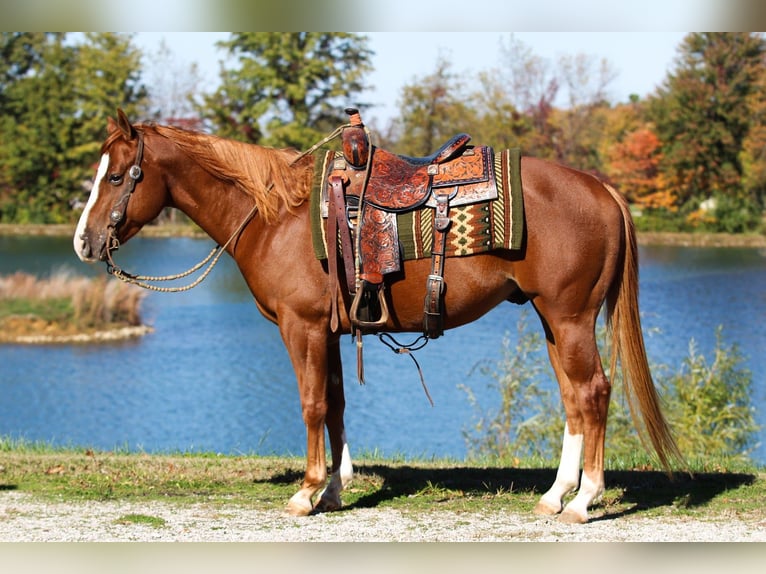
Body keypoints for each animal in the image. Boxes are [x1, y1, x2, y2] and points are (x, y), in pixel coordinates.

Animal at [73, 109, 682, 524]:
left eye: (116, 177)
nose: (83, 242)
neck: (276, 215)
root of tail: (602, 188)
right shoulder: (329, 331)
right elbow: (337, 405)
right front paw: (334, 491)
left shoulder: (302, 327)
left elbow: (312, 404)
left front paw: (306, 492)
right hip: (553, 322)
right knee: (574, 398)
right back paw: (555, 496)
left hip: (571, 317)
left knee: (594, 392)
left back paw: (584, 501)